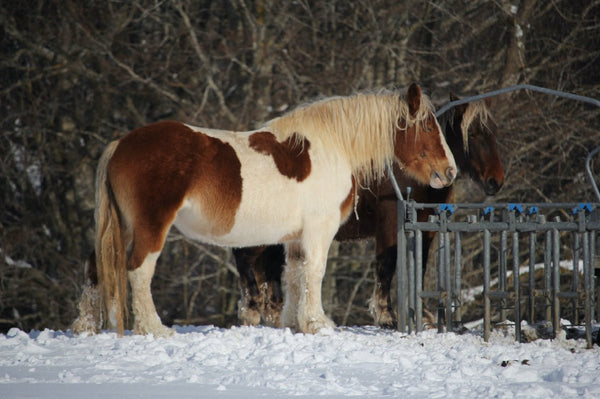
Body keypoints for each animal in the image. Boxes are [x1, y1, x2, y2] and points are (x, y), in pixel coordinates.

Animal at [71, 84, 454, 338]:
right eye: (427, 125)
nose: (448, 172)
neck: (331, 148)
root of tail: (121, 144)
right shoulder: (319, 231)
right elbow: (314, 272)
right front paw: (318, 323)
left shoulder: (295, 238)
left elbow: (294, 275)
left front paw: (294, 323)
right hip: (150, 227)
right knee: (138, 270)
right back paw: (154, 328)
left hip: (122, 226)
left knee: (95, 265)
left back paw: (87, 326)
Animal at [233, 95, 502, 330]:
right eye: (473, 134)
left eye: (493, 132)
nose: (495, 181)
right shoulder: (390, 225)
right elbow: (386, 266)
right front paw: (386, 316)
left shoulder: (426, 229)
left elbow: (421, 266)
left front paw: (424, 316)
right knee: (245, 257)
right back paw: (253, 309)